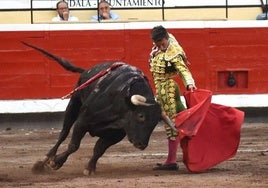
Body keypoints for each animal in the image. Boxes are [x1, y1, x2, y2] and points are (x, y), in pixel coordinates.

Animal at [24, 42, 168, 175]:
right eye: (141, 116)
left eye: (155, 122)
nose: (142, 144)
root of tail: (86, 71)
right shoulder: (82, 122)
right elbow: (74, 145)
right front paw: (56, 162)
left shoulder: (115, 135)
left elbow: (99, 149)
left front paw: (90, 168)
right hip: (73, 103)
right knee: (63, 133)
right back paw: (44, 161)